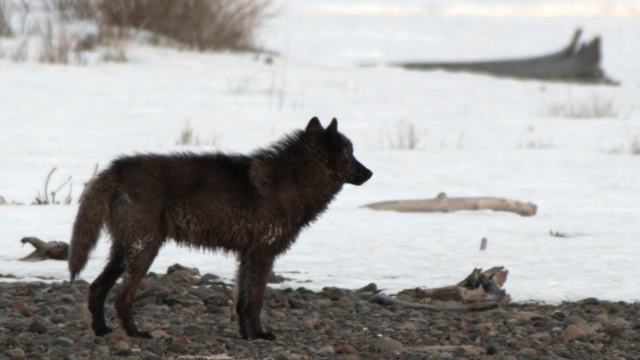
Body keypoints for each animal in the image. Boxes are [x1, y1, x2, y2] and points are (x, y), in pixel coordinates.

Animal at [68, 118, 372, 340]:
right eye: (351, 154)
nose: (370, 173)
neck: (295, 181)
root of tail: (119, 166)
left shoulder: (247, 255)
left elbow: (242, 301)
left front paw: (246, 335)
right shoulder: (263, 254)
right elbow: (256, 300)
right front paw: (259, 335)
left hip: (125, 251)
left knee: (96, 288)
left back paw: (103, 331)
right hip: (145, 250)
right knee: (122, 295)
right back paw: (135, 333)